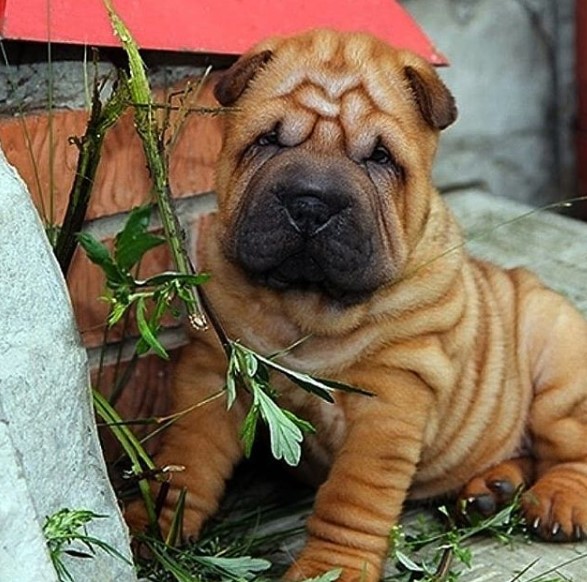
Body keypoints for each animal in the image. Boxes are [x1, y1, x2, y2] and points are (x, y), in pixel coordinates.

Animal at [126, 28, 587, 582]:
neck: (306, 305)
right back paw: (491, 491)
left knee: (569, 450)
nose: (310, 203)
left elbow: (353, 496)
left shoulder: (389, 402)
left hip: (557, 362)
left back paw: (556, 501)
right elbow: (188, 456)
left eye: (380, 158)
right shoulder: (215, 370)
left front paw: (331, 569)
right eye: (267, 141)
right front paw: (154, 525)